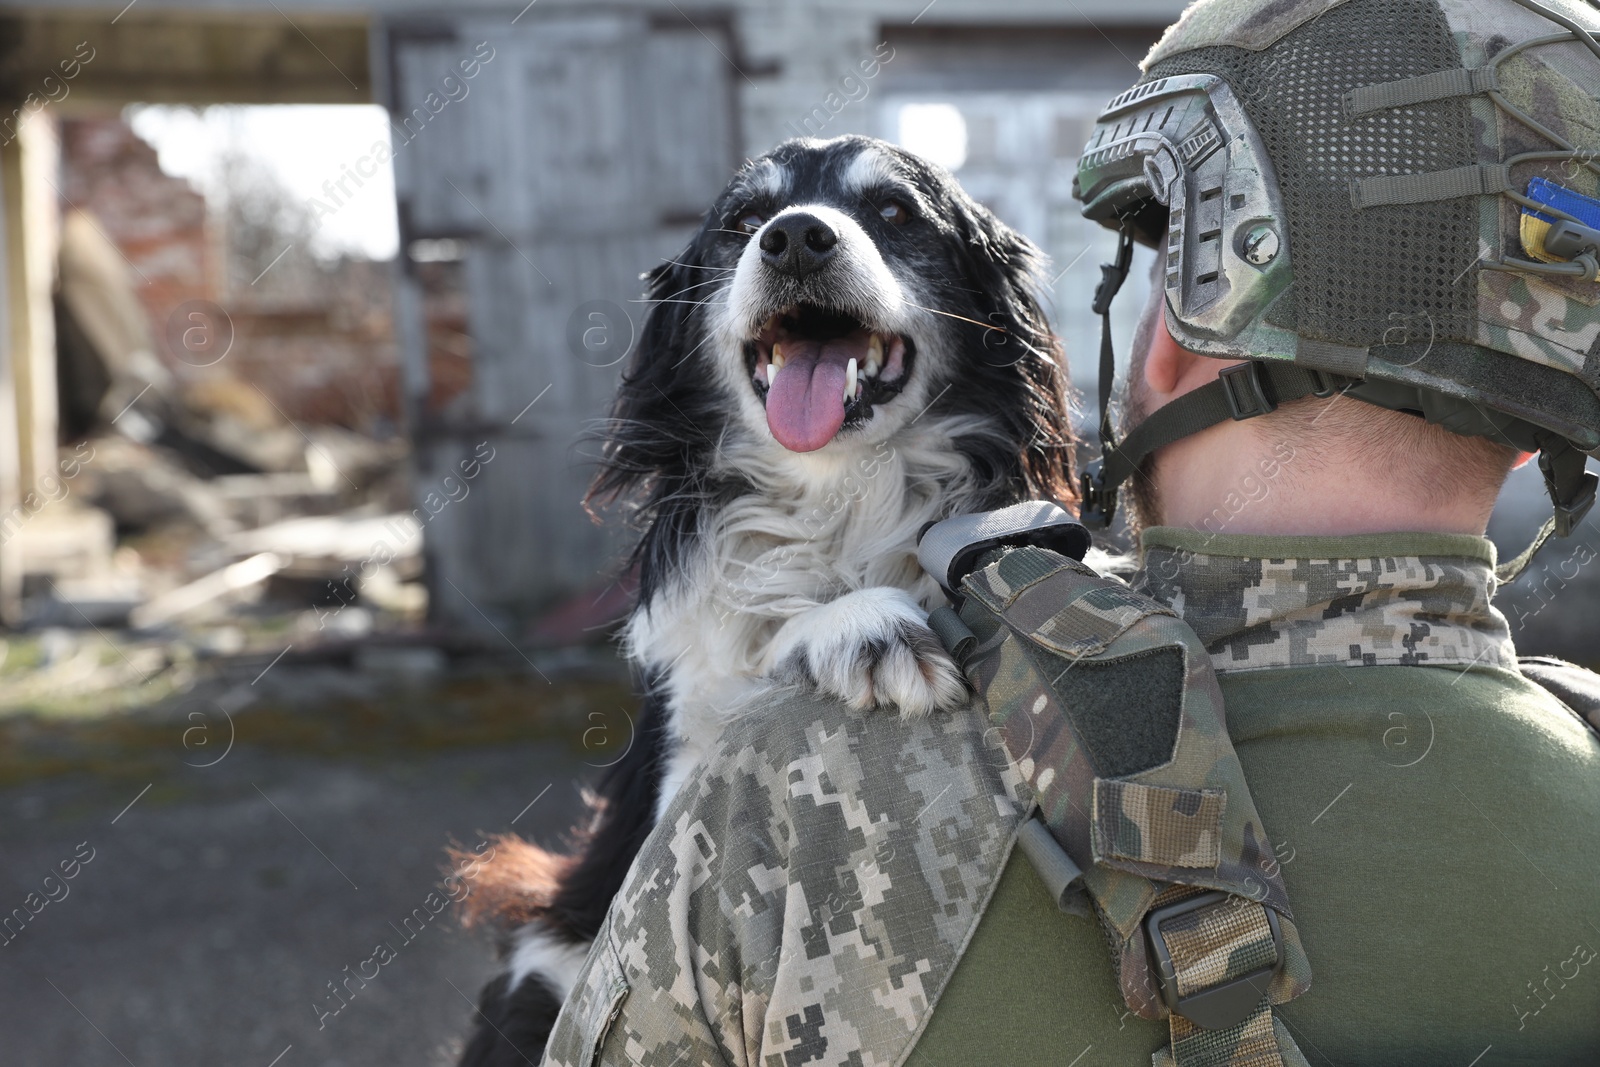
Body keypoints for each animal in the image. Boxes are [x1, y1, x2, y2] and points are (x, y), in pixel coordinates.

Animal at [454, 137, 1075, 1062]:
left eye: (894, 210)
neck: (837, 500)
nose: (795, 240)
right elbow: (763, 632)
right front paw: (858, 626)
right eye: (745, 219)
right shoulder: (673, 808)